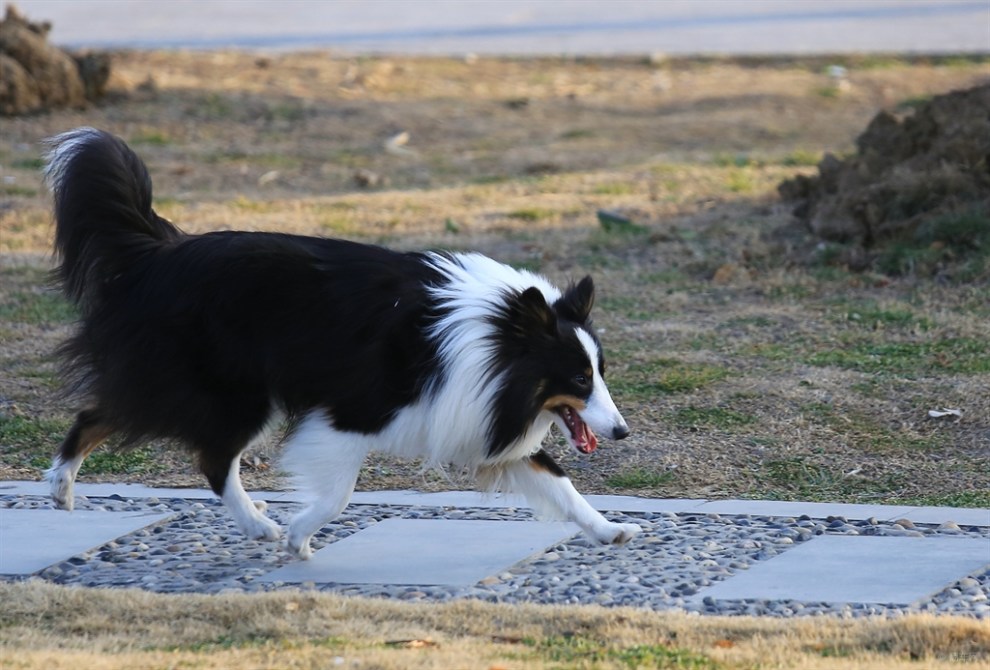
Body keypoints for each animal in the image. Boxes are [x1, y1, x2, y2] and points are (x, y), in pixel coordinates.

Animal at [44, 129, 644, 560]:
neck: (495, 337)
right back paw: (251, 524)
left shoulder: (480, 418)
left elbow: (560, 484)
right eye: (579, 378)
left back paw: (67, 490)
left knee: (110, 416)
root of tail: (160, 251)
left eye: (602, 372)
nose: (621, 432)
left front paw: (609, 529)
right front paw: (298, 536)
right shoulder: (348, 413)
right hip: (238, 391)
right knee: (199, 453)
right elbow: (339, 495)